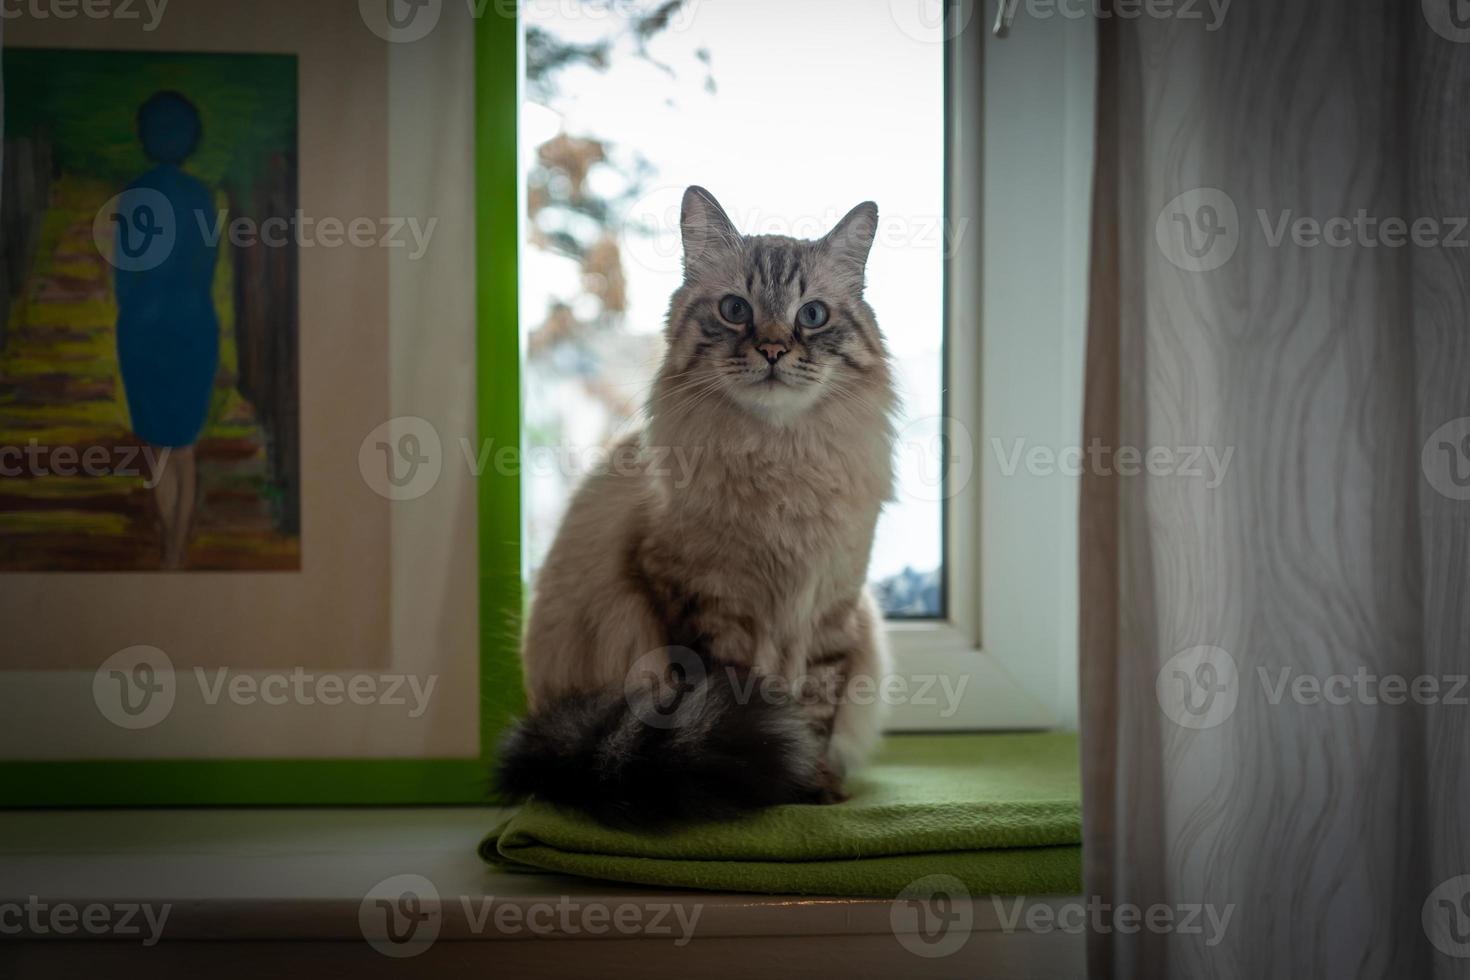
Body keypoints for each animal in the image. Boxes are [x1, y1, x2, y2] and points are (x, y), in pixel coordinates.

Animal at [499, 185, 893, 828]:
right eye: (735, 310)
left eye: (812, 315)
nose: (773, 349)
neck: (779, 461)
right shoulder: (706, 603)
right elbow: (746, 706)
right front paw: (779, 786)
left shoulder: (830, 608)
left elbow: (814, 714)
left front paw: (816, 786)